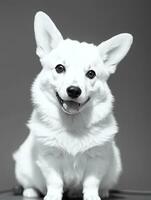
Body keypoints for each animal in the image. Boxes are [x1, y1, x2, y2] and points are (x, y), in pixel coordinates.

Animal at [13, 10, 133, 200]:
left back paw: (102, 192)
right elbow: (55, 182)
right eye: (59, 68)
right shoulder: (49, 159)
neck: (72, 122)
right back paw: (30, 191)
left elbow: (91, 182)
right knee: (30, 184)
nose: (74, 90)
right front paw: (53, 196)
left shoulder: (98, 160)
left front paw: (92, 196)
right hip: (23, 165)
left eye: (91, 74)